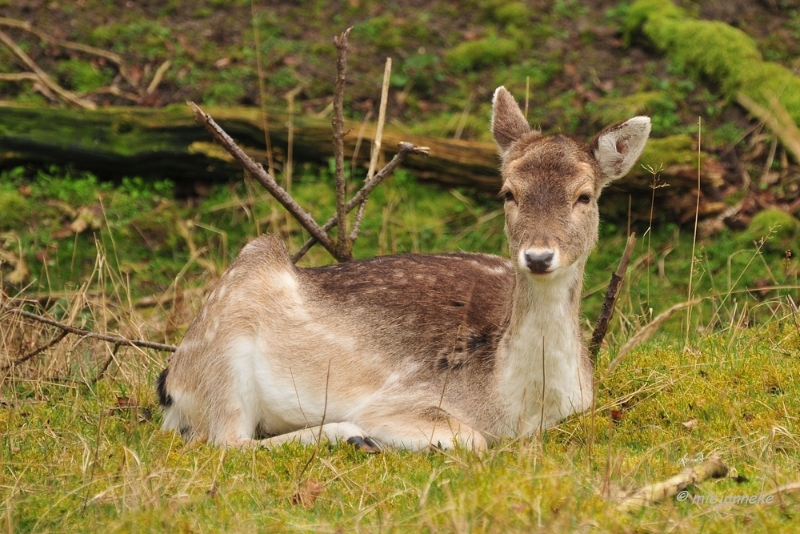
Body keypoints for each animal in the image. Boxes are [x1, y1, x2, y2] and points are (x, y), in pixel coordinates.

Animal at [158, 87, 648, 452]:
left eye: (585, 196)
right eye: (508, 192)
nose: (539, 256)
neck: (520, 406)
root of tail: (170, 383)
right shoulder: (403, 399)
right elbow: (472, 439)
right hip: (226, 348)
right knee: (226, 440)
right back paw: (351, 436)